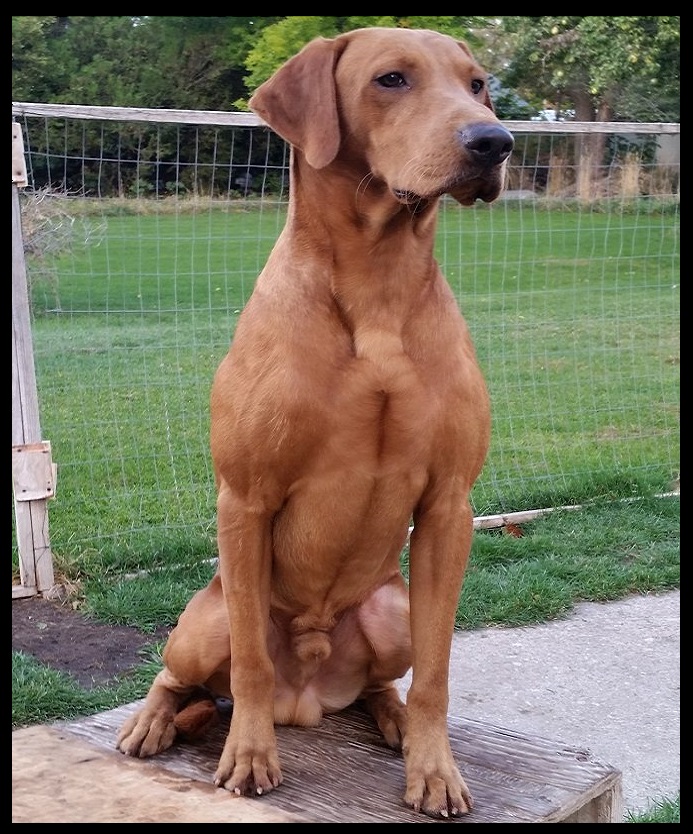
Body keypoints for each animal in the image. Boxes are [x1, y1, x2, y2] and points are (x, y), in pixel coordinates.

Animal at [116, 27, 510, 820]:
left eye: (477, 83)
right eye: (391, 79)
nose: (495, 142)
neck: (377, 284)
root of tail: (308, 697)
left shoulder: (449, 506)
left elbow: (437, 673)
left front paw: (434, 767)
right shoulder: (244, 499)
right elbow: (250, 665)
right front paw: (248, 756)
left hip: (390, 611)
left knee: (381, 682)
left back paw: (391, 719)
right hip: (203, 621)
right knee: (185, 676)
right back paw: (155, 720)